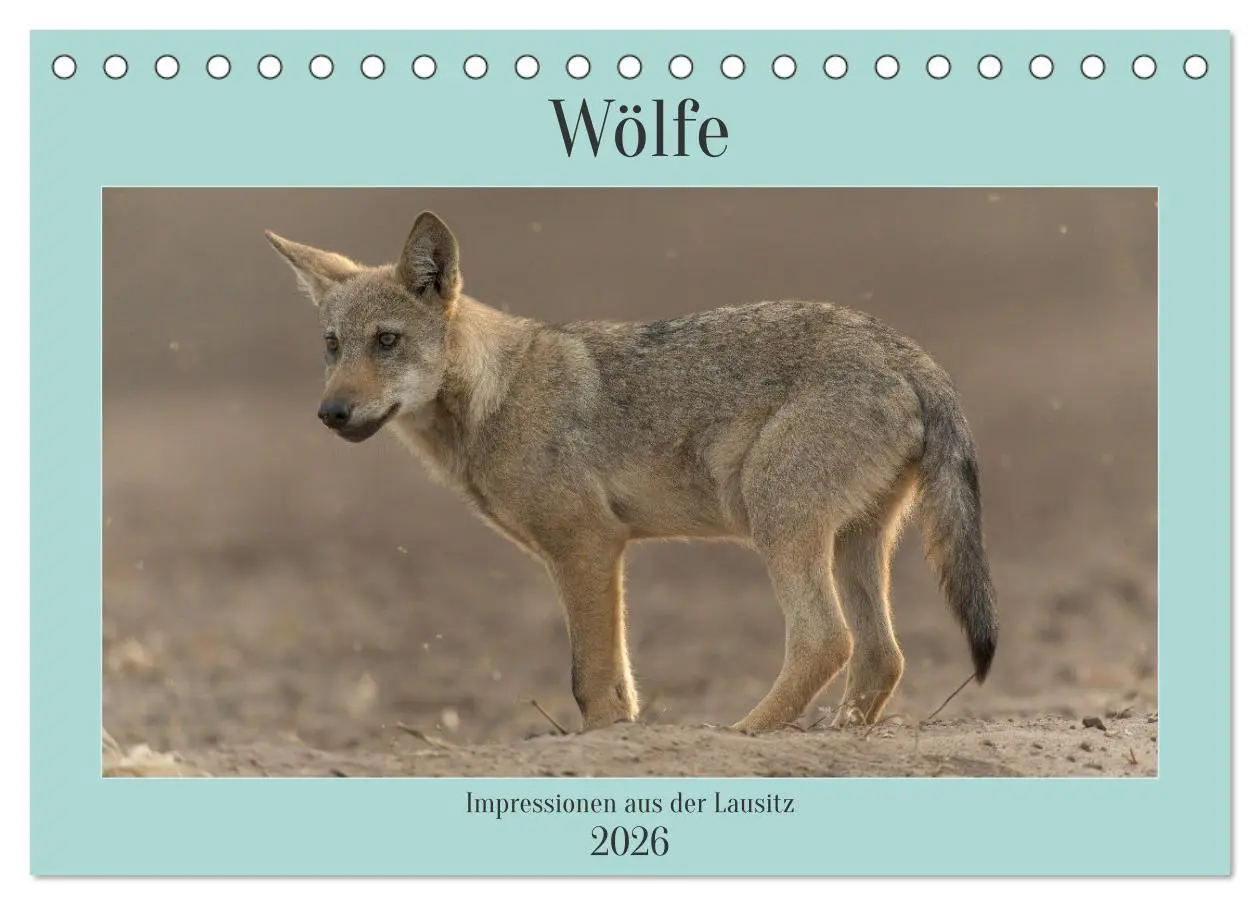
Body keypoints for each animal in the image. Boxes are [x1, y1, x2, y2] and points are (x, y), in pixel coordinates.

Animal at [264, 211, 998, 733]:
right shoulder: (594, 552)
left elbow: (590, 678)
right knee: (881, 656)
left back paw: (742, 734)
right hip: (855, 541)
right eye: (332, 345)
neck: (497, 394)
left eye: (387, 341)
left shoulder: (587, 546)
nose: (331, 412)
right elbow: (614, 680)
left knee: (827, 640)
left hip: (780, 522)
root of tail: (908, 352)